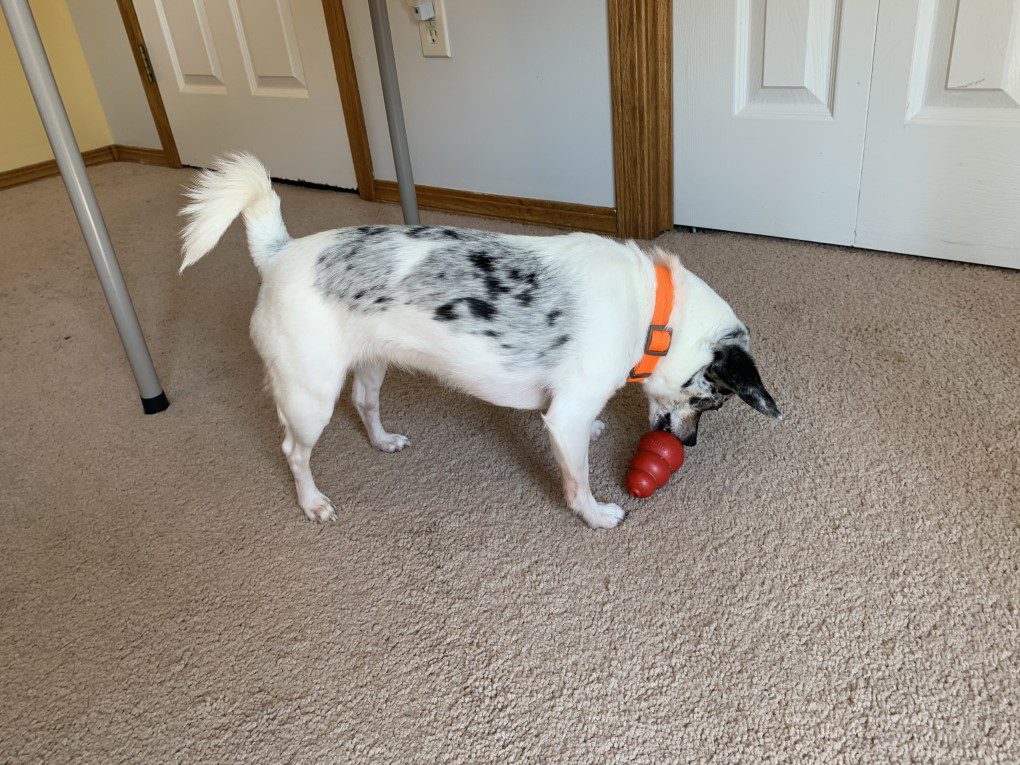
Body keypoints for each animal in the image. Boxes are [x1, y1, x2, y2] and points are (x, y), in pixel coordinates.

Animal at [179, 153, 779, 530]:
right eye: (711, 402)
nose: (690, 445)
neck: (653, 311)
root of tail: (278, 252)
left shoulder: (569, 411)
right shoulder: (566, 417)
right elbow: (578, 479)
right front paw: (594, 515)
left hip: (370, 365)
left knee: (365, 403)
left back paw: (382, 440)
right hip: (309, 397)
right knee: (294, 452)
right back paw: (313, 503)